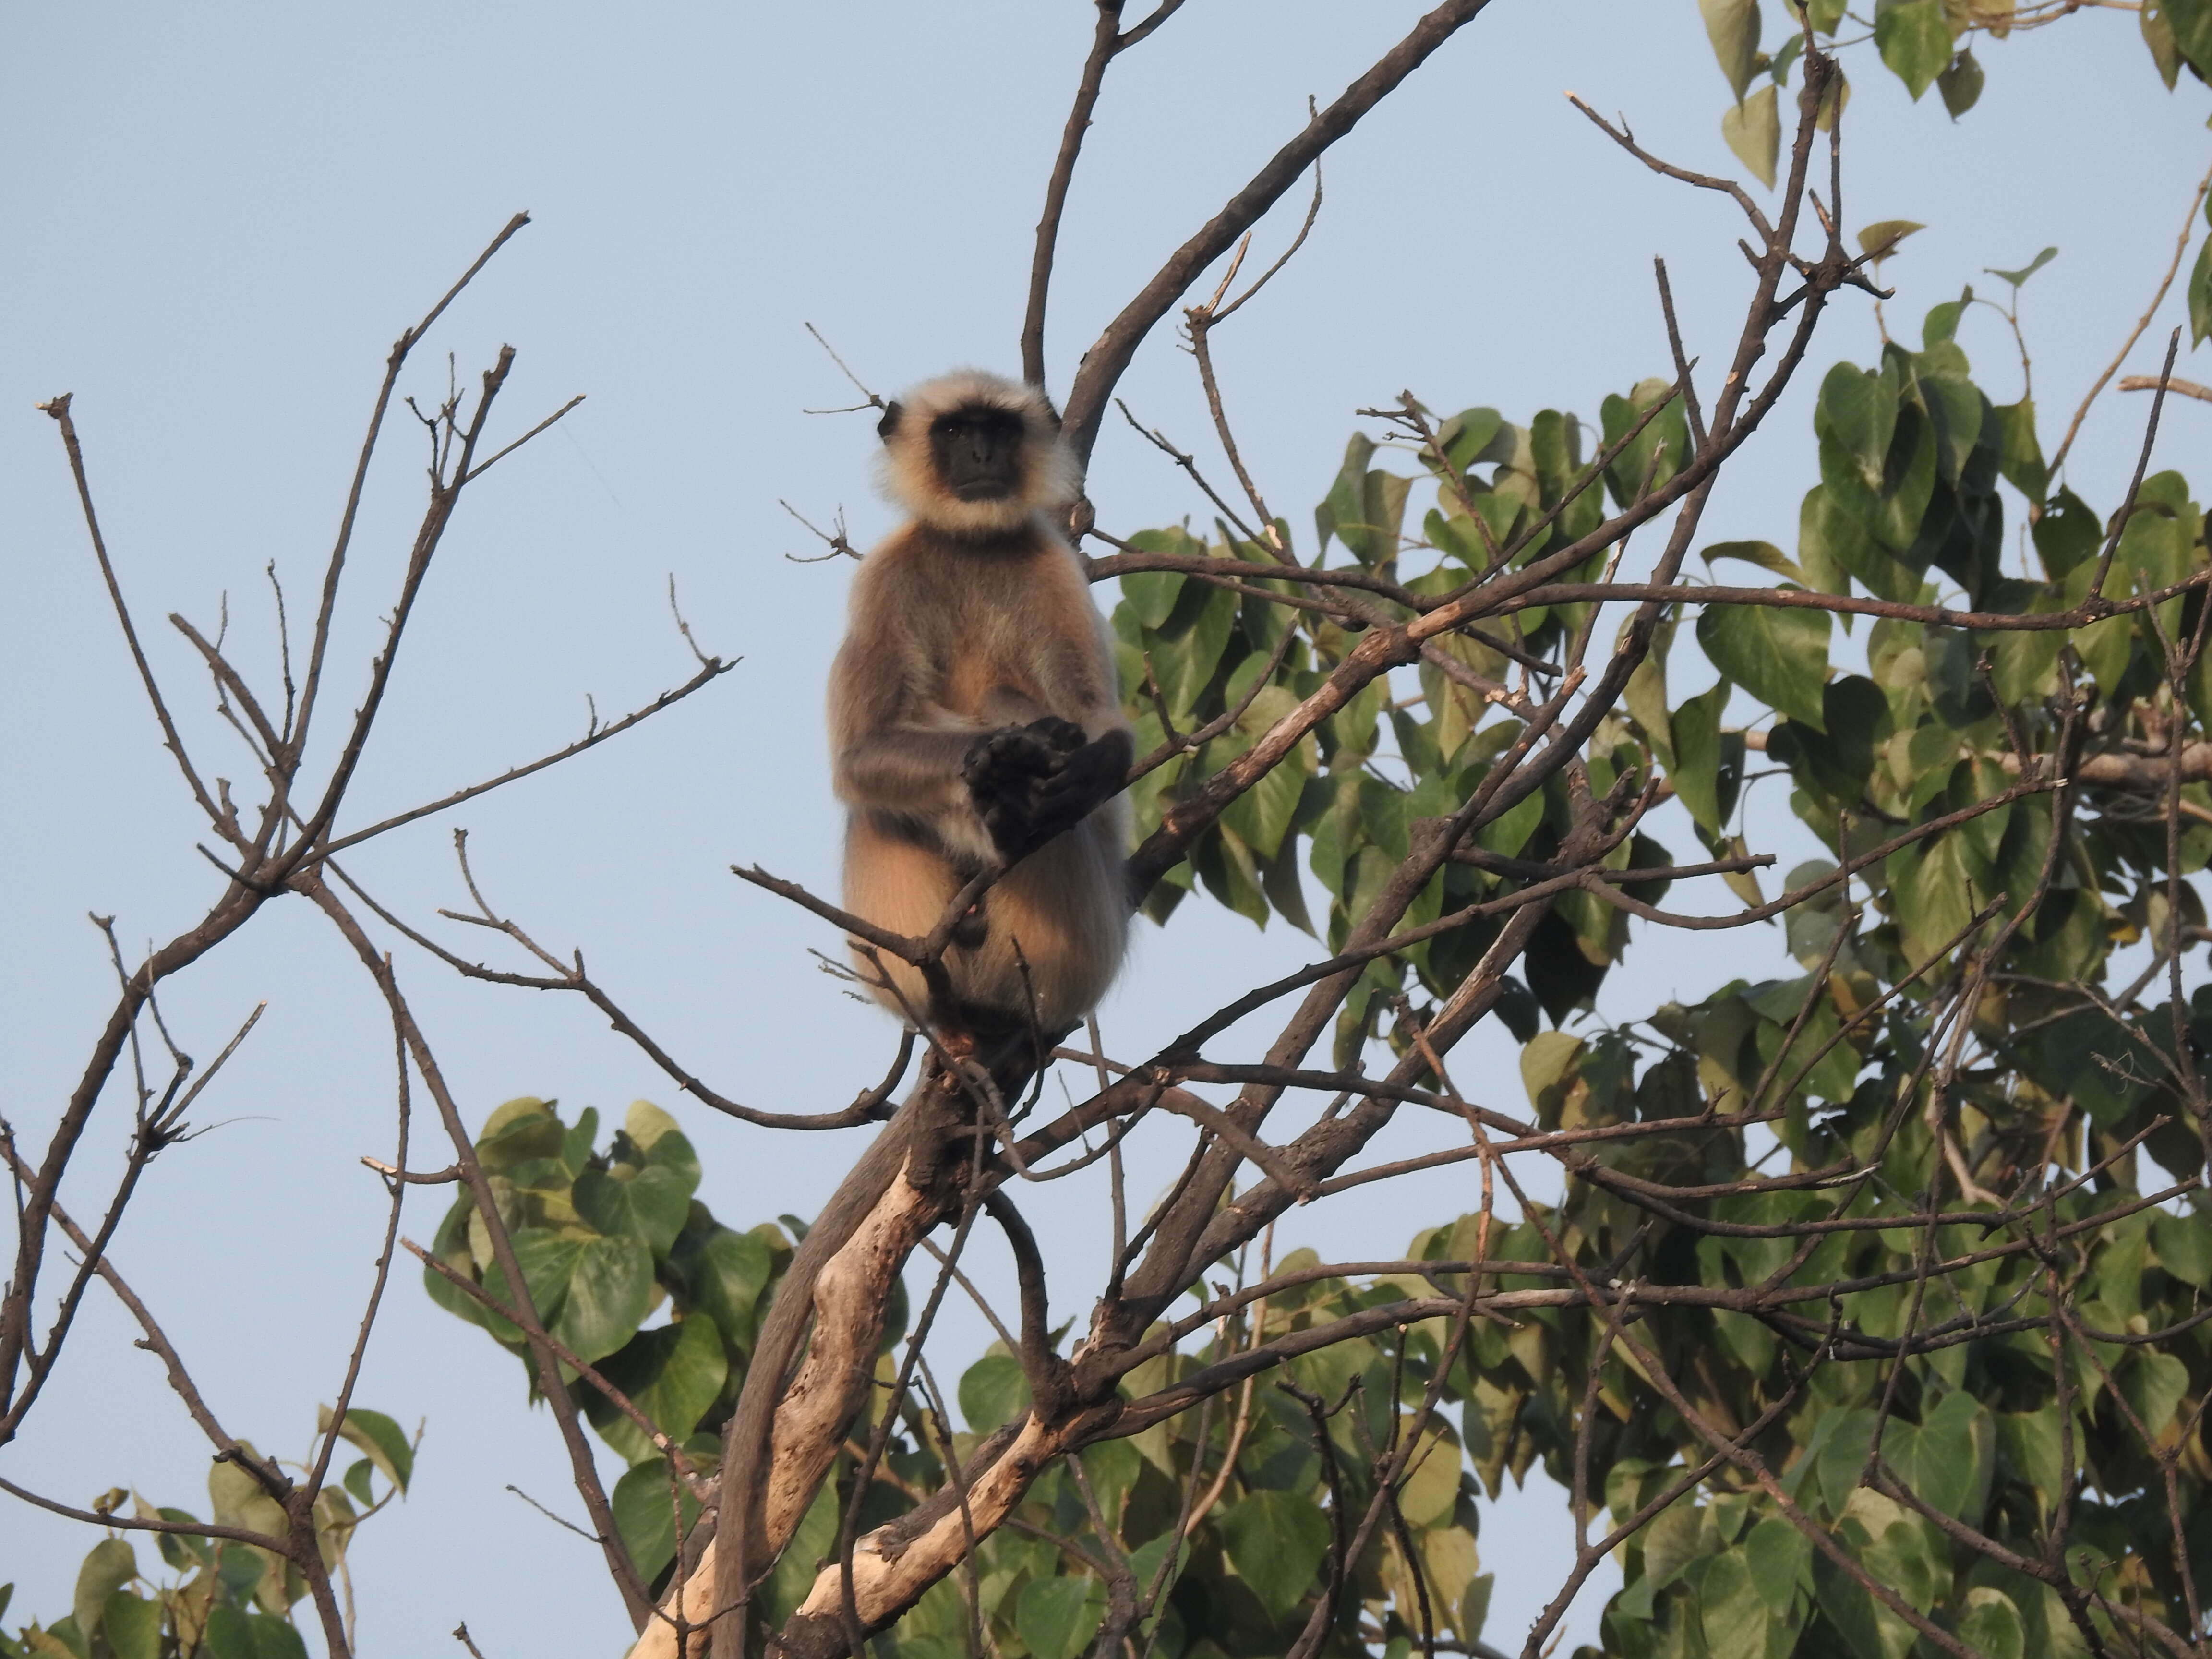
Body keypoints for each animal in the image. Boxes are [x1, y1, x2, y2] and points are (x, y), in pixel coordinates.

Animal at [831, 367, 1141, 1079]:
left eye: (998, 429)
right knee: (879, 798)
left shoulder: (1053, 568)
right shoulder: (885, 578)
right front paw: (1004, 762)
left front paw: (1083, 763)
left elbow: (1097, 723)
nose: (981, 454)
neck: (971, 544)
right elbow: (861, 755)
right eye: (954, 431)